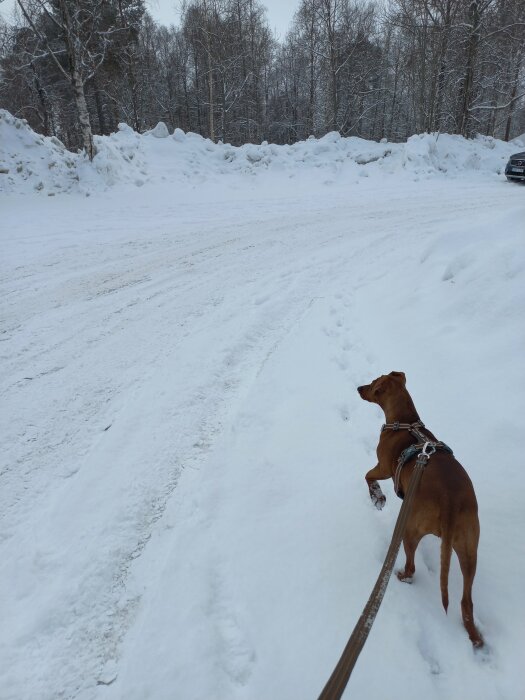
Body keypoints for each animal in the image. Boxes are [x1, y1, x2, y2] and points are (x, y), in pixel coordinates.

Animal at [358, 370, 482, 648]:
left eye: (372, 384)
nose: (358, 387)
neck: (406, 422)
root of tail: (450, 502)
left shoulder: (383, 467)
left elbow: (367, 476)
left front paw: (377, 497)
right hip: (469, 547)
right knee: (466, 601)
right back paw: (475, 637)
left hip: (410, 529)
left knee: (412, 568)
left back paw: (401, 575)